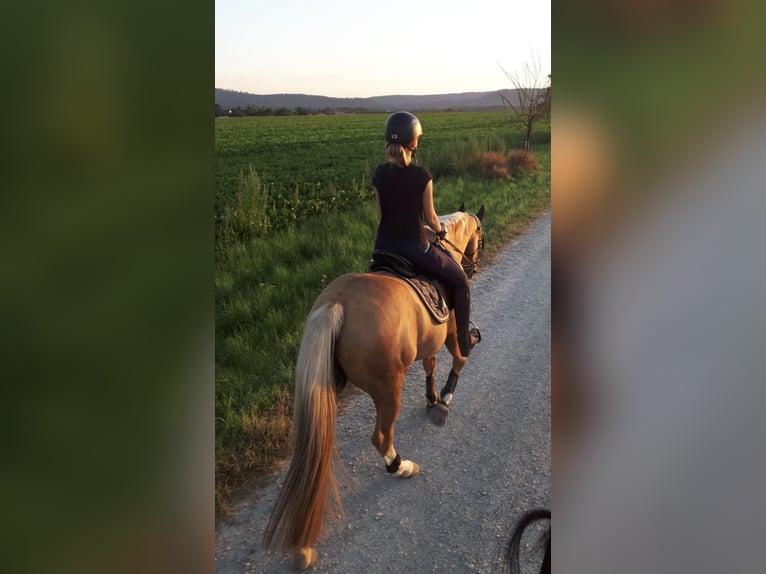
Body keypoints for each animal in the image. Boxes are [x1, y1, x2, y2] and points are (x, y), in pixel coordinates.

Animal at [264, 204, 486, 572]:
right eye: (479, 235)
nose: (471, 264)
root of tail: (337, 304)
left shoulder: (428, 343)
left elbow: (430, 365)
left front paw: (431, 398)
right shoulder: (453, 331)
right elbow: (459, 359)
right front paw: (443, 402)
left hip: (324, 388)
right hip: (387, 387)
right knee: (381, 436)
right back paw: (402, 467)